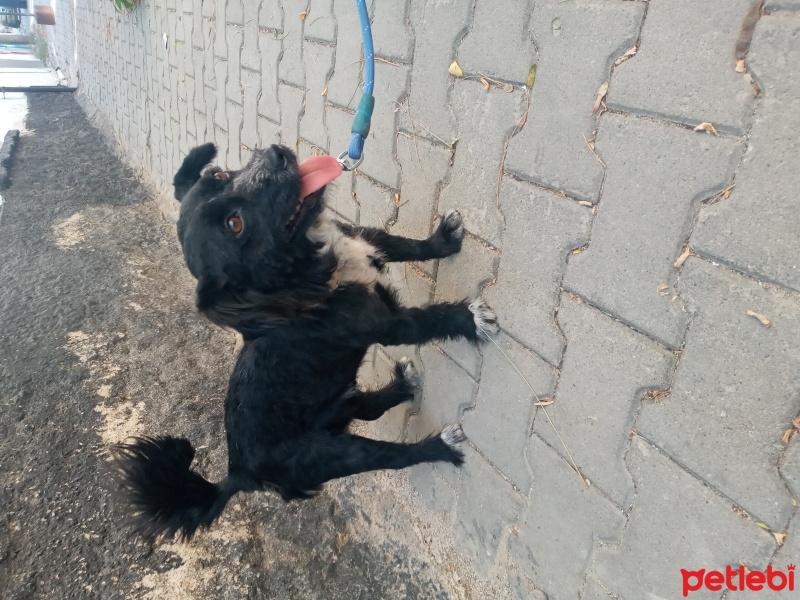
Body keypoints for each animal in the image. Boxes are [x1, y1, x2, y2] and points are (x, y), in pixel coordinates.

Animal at [111, 144, 500, 540]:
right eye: (235, 225)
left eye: (218, 175)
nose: (274, 153)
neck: (309, 272)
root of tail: (238, 474)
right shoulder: (389, 325)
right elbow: (433, 319)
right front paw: (473, 319)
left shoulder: (366, 238)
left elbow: (406, 246)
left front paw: (444, 240)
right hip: (333, 455)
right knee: (393, 457)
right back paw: (441, 446)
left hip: (335, 406)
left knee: (366, 408)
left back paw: (403, 386)